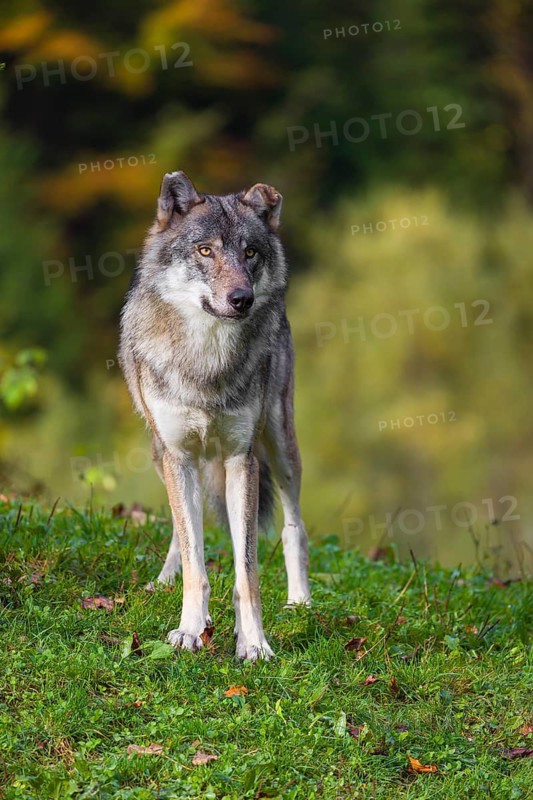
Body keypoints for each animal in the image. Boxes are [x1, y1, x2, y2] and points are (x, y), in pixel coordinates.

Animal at [119, 171, 311, 661]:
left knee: (294, 527)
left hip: (280, 447)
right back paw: (164, 581)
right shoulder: (179, 456)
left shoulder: (241, 459)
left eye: (250, 252)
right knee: (182, 529)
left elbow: (247, 572)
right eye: (205, 250)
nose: (241, 298)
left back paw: (301, 602)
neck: (205, 361)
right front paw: (190, 629)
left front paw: (254, 642)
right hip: (162, 454)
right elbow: (194, 557)